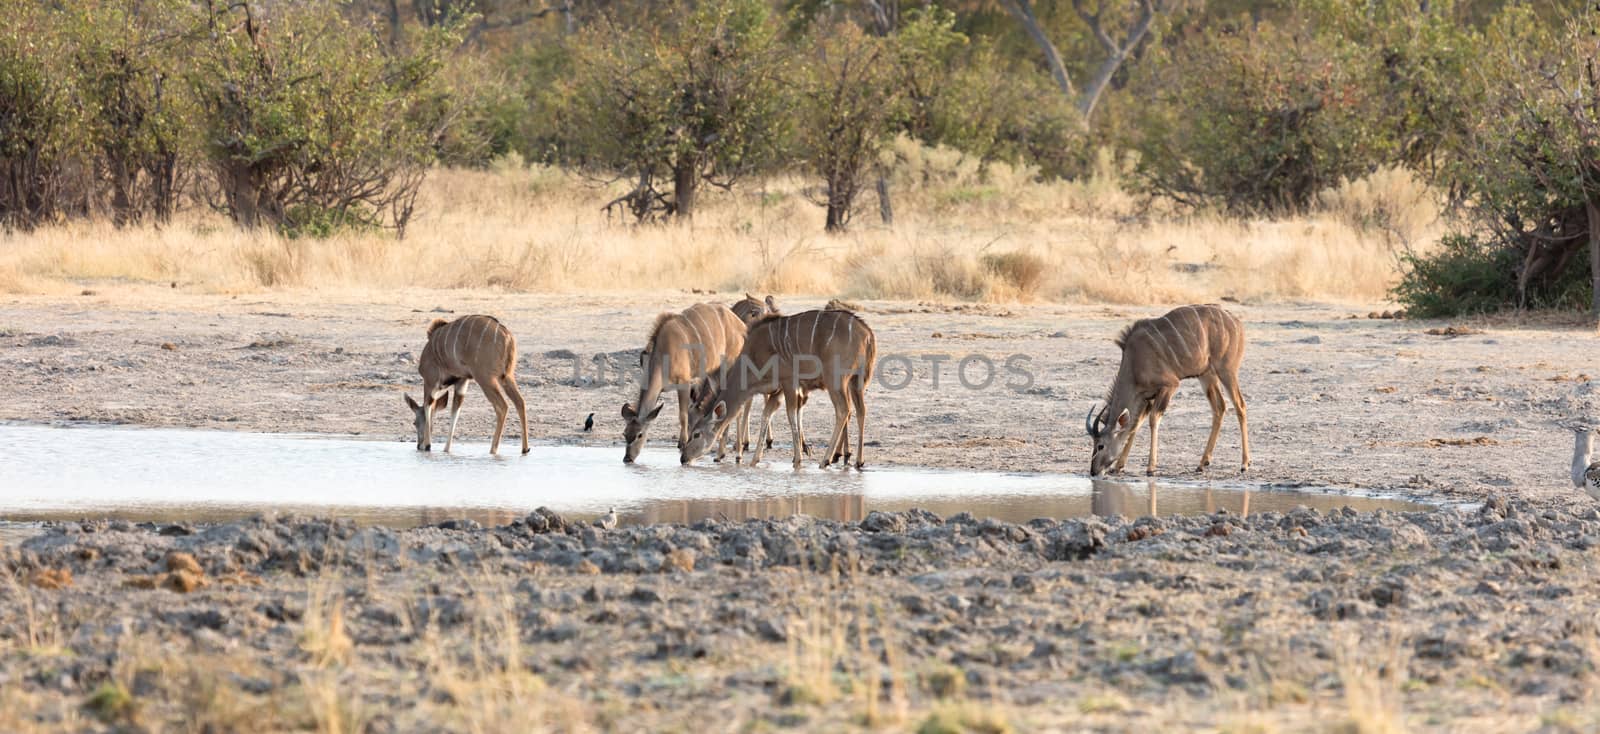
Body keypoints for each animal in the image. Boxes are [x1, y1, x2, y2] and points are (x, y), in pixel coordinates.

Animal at [403, 315, 528, 457]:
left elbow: (428, 406)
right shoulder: (462, 381)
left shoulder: (430, 381)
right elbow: (455, 412)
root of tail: (506, 335)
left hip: (485, 378)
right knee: (520, 402)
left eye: (414, 423)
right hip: (506, 376)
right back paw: (525, 449)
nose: (419, 446)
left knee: (502, 406)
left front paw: (428, 445)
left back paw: (493, 450)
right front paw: (446, 450)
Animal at [624, 302, 748, 463]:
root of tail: (741, 326)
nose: (627, 458)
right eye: (625, 434)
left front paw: (682, 444)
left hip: (728, 368)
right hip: (713, 375)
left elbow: (683, 415)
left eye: (640, 434)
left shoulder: (684, 383)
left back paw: (736, 453)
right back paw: (721, 454)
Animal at [675, 308, 876, 470]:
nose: (683, 458)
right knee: (861, 411)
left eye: (696, 434)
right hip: (856, 381)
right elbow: (767, 415)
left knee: (843, 410)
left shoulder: (789, 382)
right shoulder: (778, 391)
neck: (753, 353)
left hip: (835, 379)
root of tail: (867, 333)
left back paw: (825, 460)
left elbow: (791, 415)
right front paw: (755, 460)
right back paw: (858, 461)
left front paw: (797, 460)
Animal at [1088, 303, 1248, 476]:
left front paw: (1151, 467)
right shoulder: (1145, 397)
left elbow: (1153, 419)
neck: (1134, 363)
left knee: (1240, 405)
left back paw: (1244, 464)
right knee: (1219, 408)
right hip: (1206, 376)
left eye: (1100, 446)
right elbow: (1135, 424)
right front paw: (1119, 466)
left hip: (1226, 371)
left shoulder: (1169, 385)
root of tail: (1235, 320)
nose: (1093, 471)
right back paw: (1202, 463)